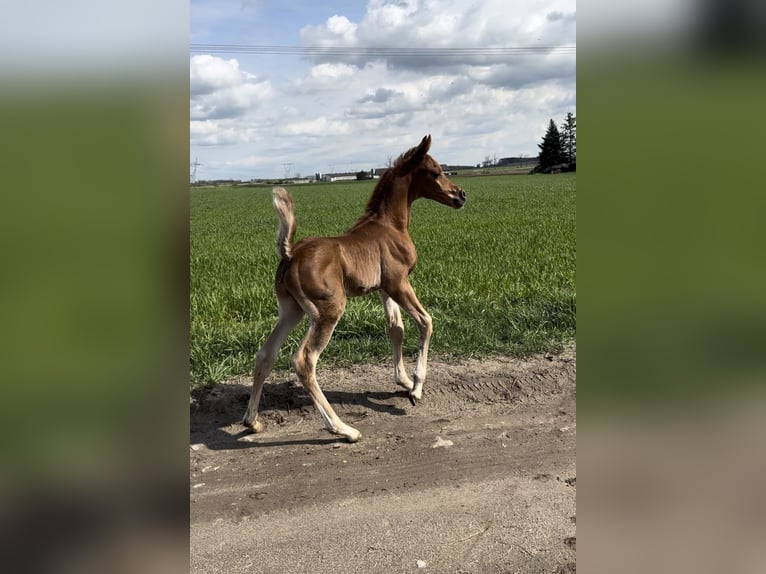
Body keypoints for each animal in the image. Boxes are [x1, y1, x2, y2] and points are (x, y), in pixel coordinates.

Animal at [243, 136, 464, 446]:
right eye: (435, 172)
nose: (461, 195)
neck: (390, 226)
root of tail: (290, 254)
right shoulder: (399, 283)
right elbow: (425, 321)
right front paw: (416, 388)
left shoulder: (384, 288)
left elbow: (396, 328)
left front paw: (403, 381)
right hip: (327, 310)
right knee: (304, 360)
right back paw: (343, 429)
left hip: (291, 310)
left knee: (265, 354)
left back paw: (252, 421)